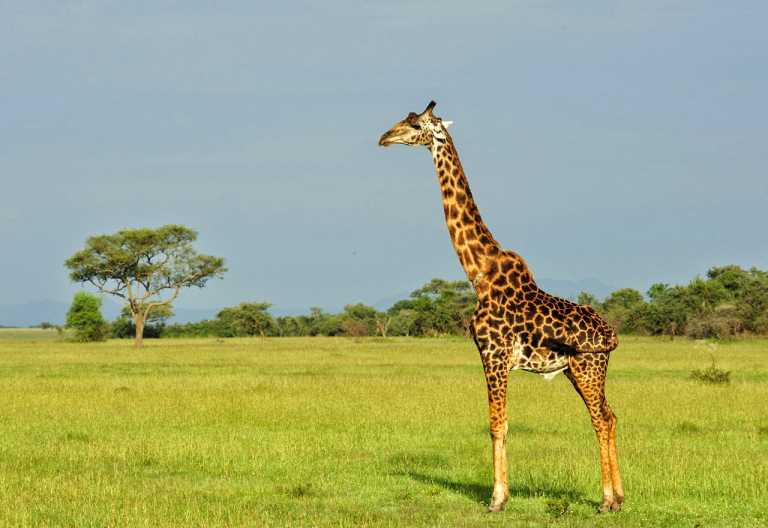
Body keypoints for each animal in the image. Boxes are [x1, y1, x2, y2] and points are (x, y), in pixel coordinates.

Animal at [378, 101, 624, 514]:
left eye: (414, 124)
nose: (384, 137)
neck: (478, 271)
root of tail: (613, 336)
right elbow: (499, 423)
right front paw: (499, 494)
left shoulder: (492, 354)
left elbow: (498, 423)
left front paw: (497, 498)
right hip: (577, 370)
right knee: (609, 415)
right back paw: (618, 497)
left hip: (588, 367)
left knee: (600, 419)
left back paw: (607, 501)